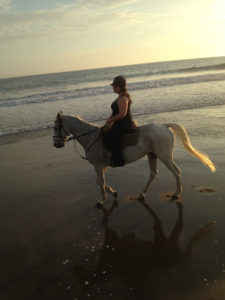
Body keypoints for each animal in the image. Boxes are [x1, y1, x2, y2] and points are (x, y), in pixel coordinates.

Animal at [53, 112, 216, 206]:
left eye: (55, 128)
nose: (56, 145)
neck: (91, 137)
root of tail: (164, 126)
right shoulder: (101, 166)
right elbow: (101, 182)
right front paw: (113, 193)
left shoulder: (98, 166)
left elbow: (100, 182)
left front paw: (101, 200)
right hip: (152, 155)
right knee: (153, 173)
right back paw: (141, 194)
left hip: (164, 156)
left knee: (176, 171)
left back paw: (176, 194)